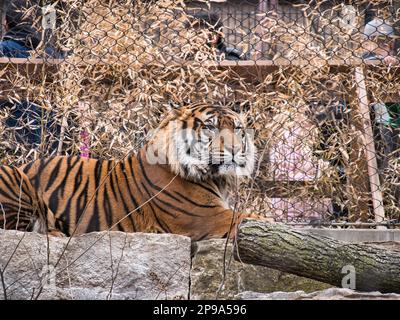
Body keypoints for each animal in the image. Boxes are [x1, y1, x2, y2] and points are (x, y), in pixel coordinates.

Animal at [0, 103, 264, 240]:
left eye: (237, 129)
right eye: (210, 127)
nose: (234, 149)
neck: (216, 177)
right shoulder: (208, 218)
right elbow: (253, 217)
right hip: (14, 177)